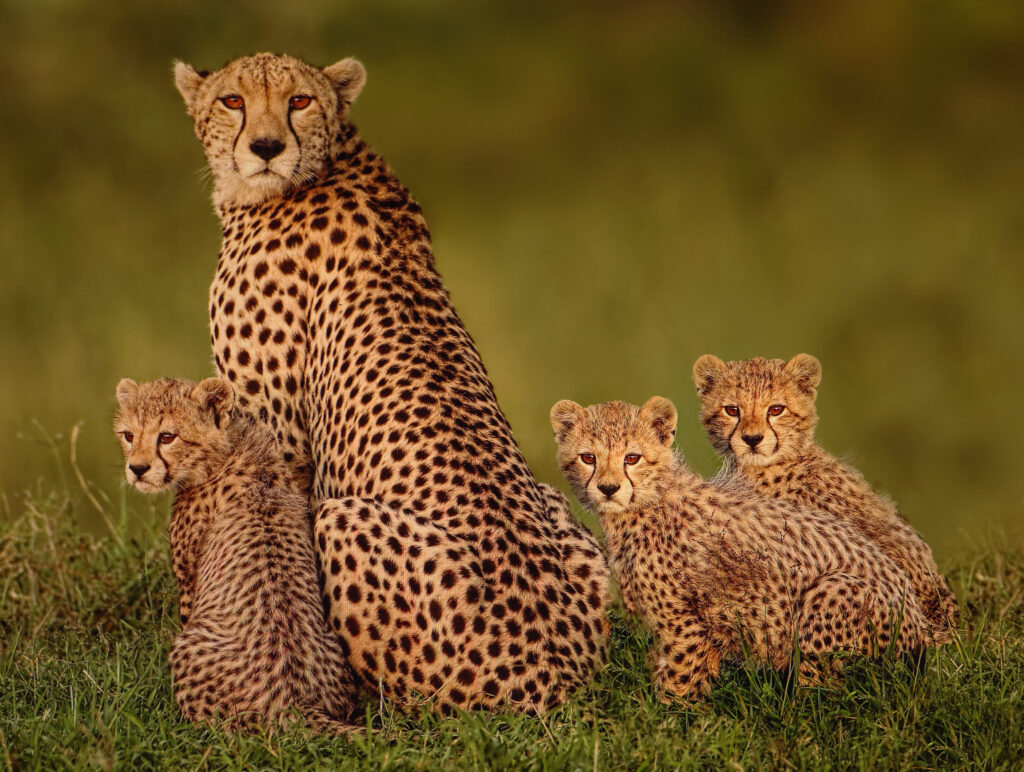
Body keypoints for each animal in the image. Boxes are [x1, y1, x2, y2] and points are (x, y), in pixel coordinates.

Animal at [114, 377, 362, 732]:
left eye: (167, 437)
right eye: (129, 435)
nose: (137, 468)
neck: (228, 448)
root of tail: (299, 701)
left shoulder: (189, 584)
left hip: (189, 650)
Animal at [173, 52, 609, 712]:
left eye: (299, 100)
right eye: (232, 101)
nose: (267, 147)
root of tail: (557, 680)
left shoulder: (273, 442)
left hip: (342, 524)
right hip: (566, 519)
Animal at [551, 396, 944, 703]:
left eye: (632, 458)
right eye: (588, 457)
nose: (608, 488)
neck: (648, 501)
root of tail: (922, 624)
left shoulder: (686, 626)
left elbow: (678, 687)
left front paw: (671, 728)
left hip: (831, 594)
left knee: (825, 694)